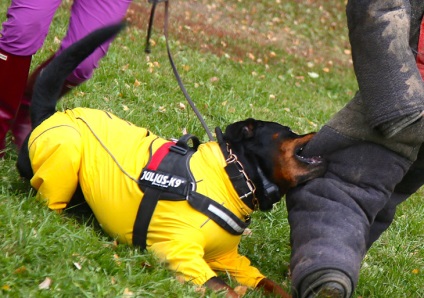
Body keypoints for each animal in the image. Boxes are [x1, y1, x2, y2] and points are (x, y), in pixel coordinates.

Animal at [16, 22, 326, 296]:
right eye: (289, 131)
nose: (320, 127)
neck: (232, 177)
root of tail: (50, 114)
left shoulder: (230, 258)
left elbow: (268, 283)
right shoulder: (181, 255)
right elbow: (228, 291)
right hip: (66, 148)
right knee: (48, 203)